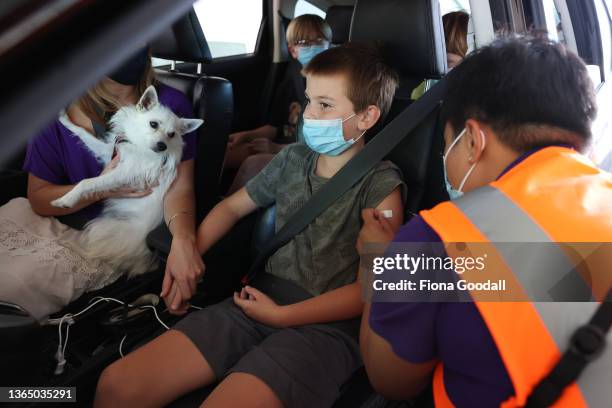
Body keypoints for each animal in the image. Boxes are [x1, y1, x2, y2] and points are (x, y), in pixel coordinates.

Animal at [52, 86, 203, 278]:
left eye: (172, 134)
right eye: (153, 124)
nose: (162, 145)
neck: (139, 144)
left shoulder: (124, 173)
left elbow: (87, 182)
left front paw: (67, 199)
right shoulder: (109, 152)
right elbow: (83, 133)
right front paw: (64, 119)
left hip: (101, 229)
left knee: (94, 251)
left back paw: (71, 248)